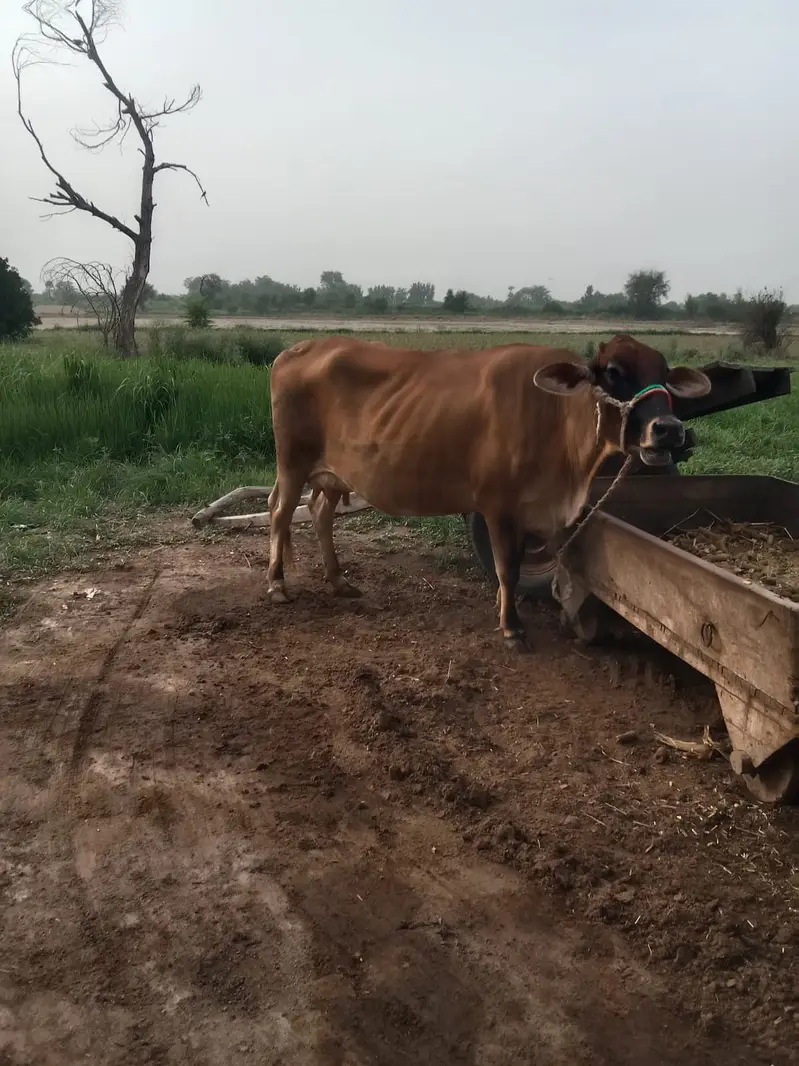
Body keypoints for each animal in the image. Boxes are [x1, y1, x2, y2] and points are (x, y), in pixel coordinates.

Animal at [266, 334, 710, 647]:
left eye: (664, 372)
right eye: (614, 371)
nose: (668, 429)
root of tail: (298, 349)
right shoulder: (498, 507)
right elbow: (507, 568)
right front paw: (511, 627)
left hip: (333, 474)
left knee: (320, 514)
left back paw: (338, 580)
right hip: (292, 461)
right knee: (280, 513)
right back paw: (277, 584)